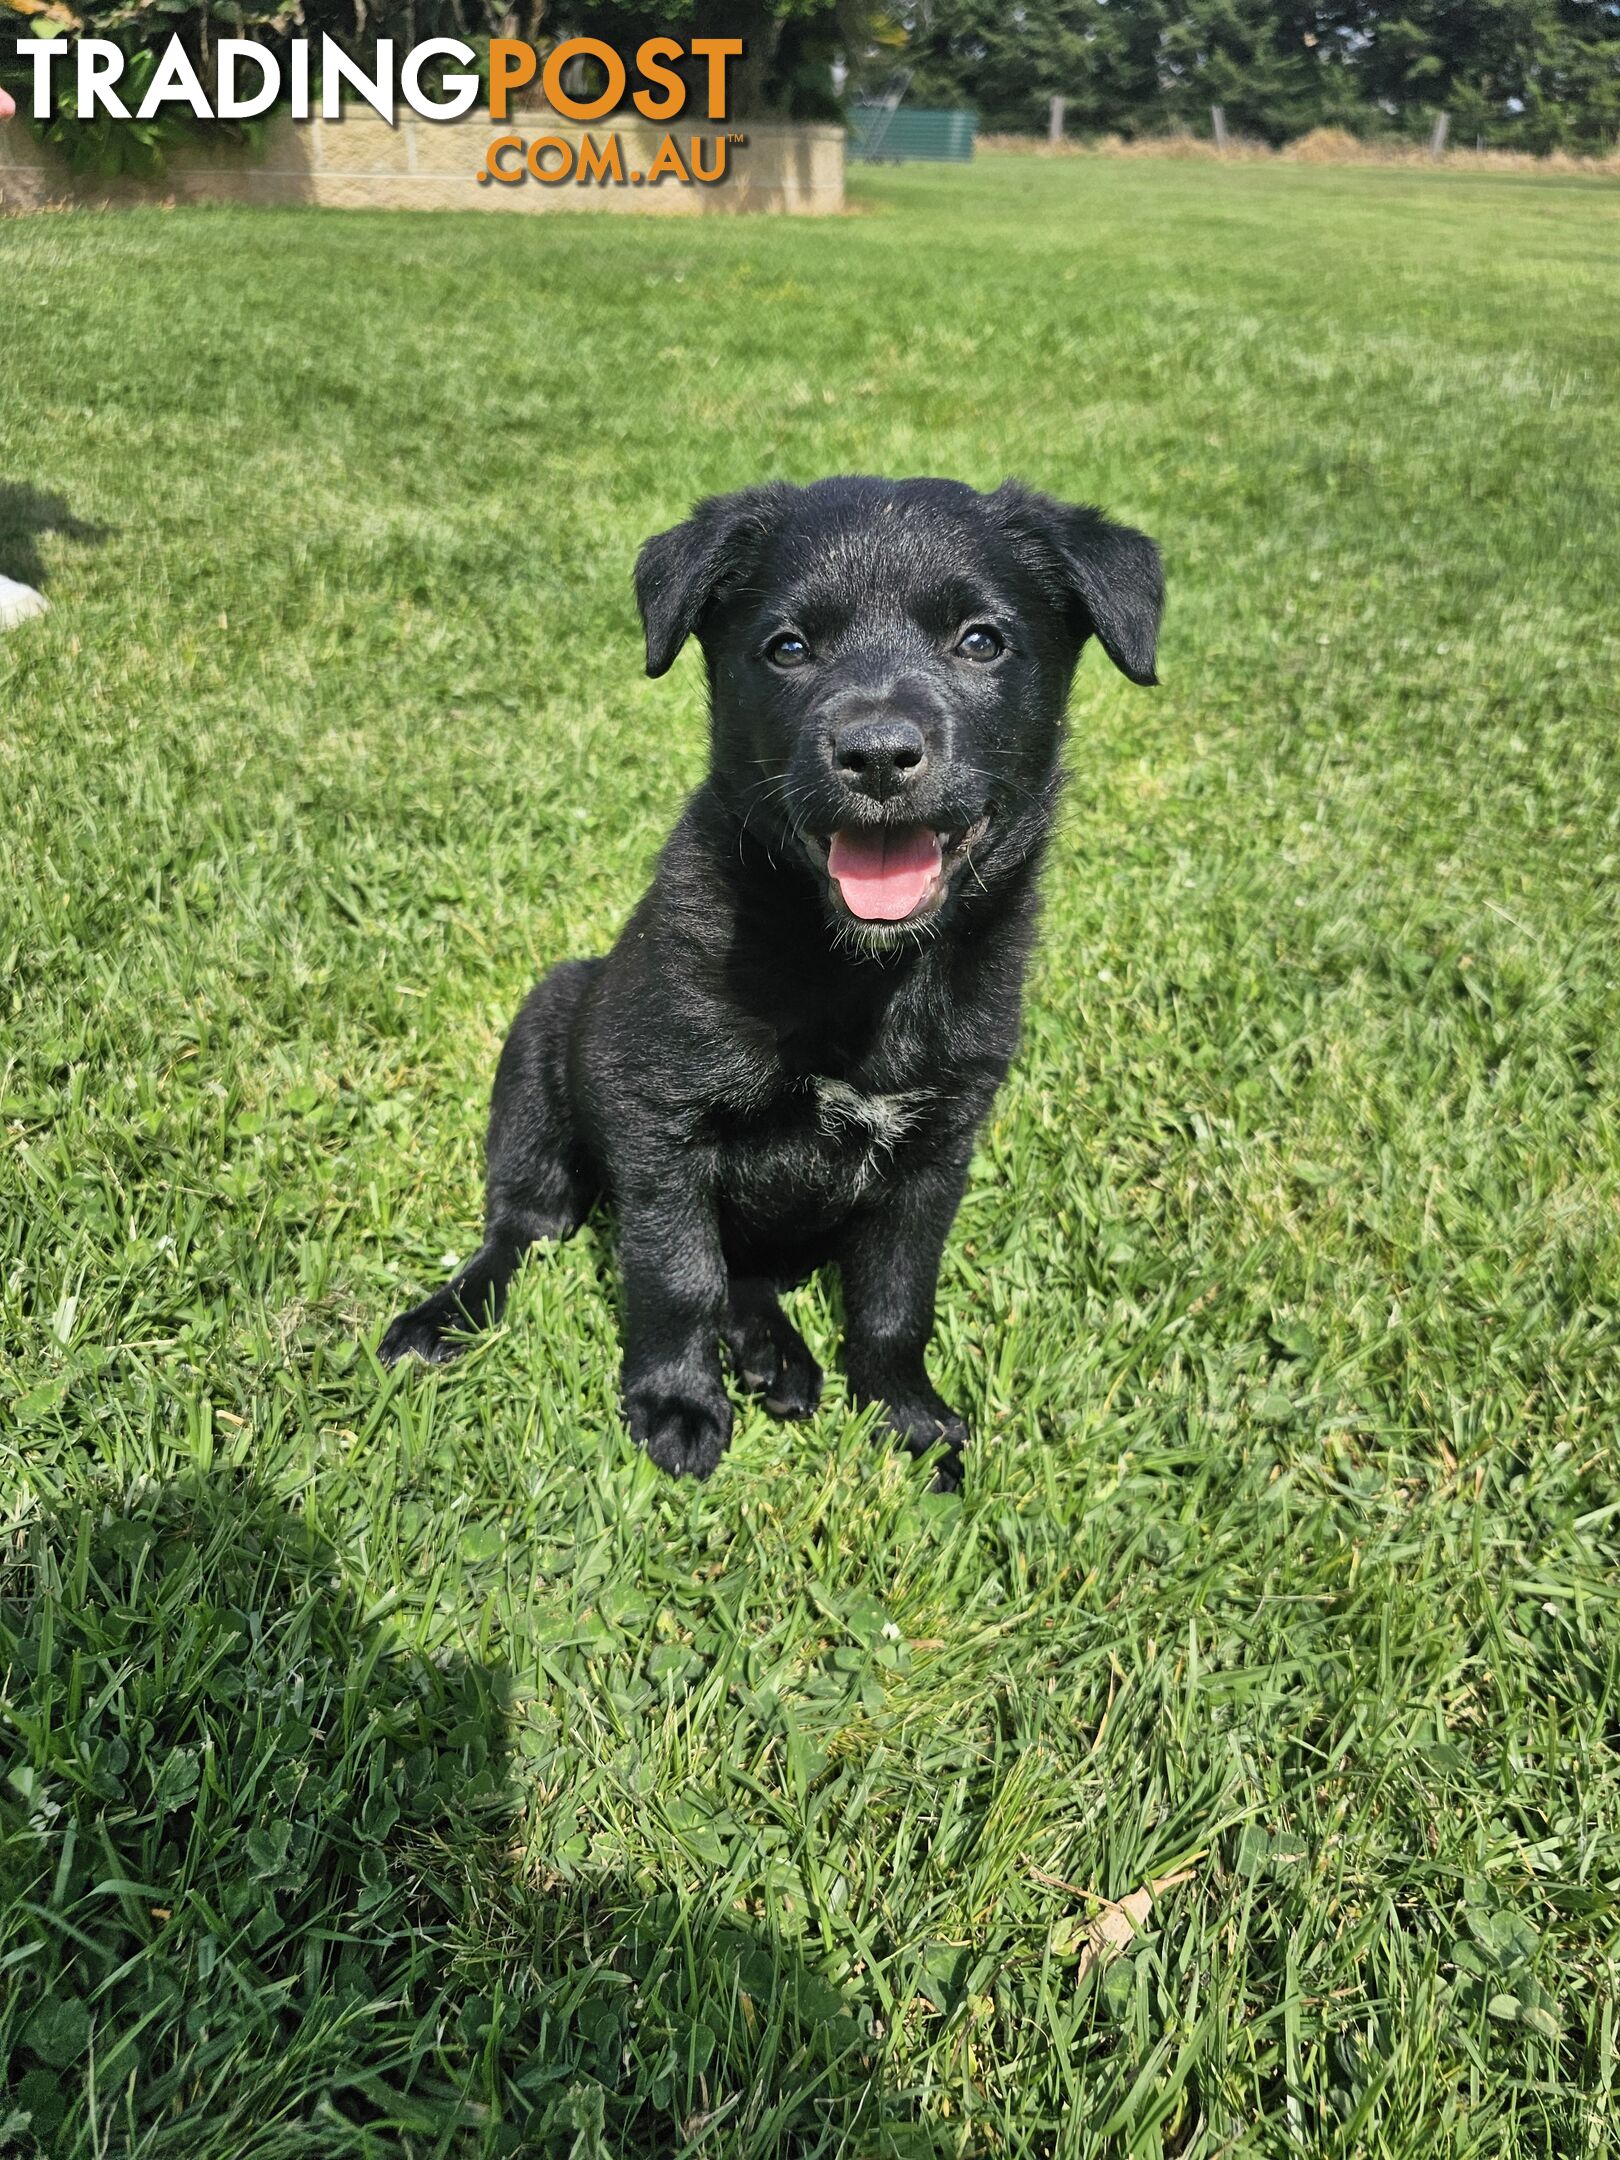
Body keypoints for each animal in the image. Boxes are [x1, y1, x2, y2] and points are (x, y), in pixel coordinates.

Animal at [380, 477, 1166, 1486]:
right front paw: (677, 1402)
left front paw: (906, 1414)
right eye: (788, 649)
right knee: (524, 1228)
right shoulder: (657, 1121)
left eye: (980, 641)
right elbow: (677, 1272)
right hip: (544, 1037)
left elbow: (896, 1299)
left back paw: (773, 1355)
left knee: (747, 1273)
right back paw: (448, 1316)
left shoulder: (935, 1157)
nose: (877, 754)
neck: (855, 972)